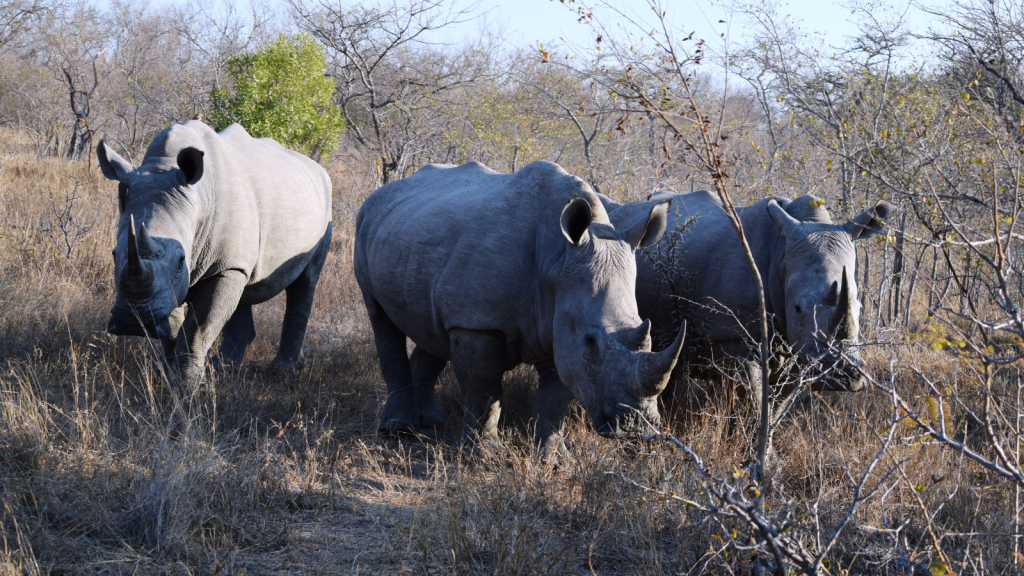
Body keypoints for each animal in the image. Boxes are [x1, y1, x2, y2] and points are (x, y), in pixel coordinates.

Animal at [96, 118, 331, 383]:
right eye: (114, 254)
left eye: (181, 261)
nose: (134, 323)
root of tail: (319, 168)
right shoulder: (190, 274)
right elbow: (173, 328)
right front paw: (168, 376)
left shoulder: (220, 266)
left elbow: (198, 328)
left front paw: (185, 384)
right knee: (242, 291)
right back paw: (226, 368)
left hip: (325, 202)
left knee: (306, 281)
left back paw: (282, 371)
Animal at [356, 159, 684, 453]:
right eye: (590, 341)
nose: (635, 426)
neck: (557, 258)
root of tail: (384, 191)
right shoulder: (478, 322)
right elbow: (483, 389)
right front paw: (482, 456)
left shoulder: (558, 325)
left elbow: (556, 399)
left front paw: (553, 461)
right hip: (366, 222)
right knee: (381, 319)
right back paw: (397, 429)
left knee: (432, 329)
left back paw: (432, 423)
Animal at [618, 188, 892, 399]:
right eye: (798, 308)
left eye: (860, 308)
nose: (843, 378)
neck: (781, 254)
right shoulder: (733, 333)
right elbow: (751, 402)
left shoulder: (798, 347)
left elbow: (777, 404)